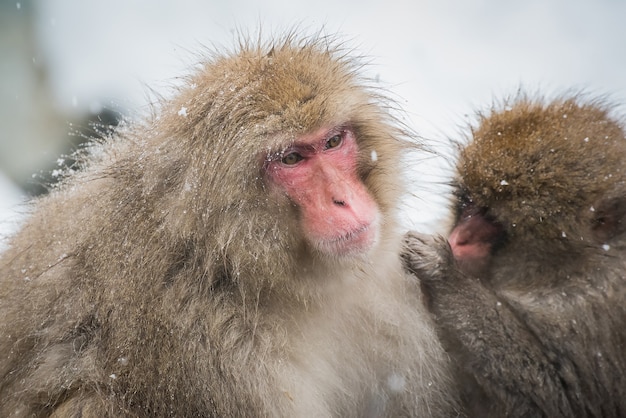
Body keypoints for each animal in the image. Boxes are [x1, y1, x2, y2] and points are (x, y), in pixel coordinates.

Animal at [402, 95, 624, 418]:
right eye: (468, 203)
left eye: (493, 222)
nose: (459, 238)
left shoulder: (593, 309)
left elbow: (562, 397)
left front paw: (443, 273)